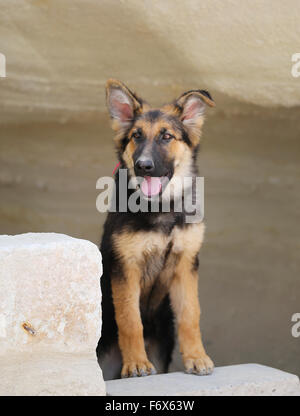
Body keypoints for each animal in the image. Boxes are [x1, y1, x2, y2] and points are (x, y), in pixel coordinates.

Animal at [96, 79, 216, 380]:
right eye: (136, 136)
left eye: (167, 137)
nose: (143, 166)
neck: (162, 207)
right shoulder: (126, 267)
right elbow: (130, 319)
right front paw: (136, 363)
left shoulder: (186, 264)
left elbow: (190, 315)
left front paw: (196, 357)